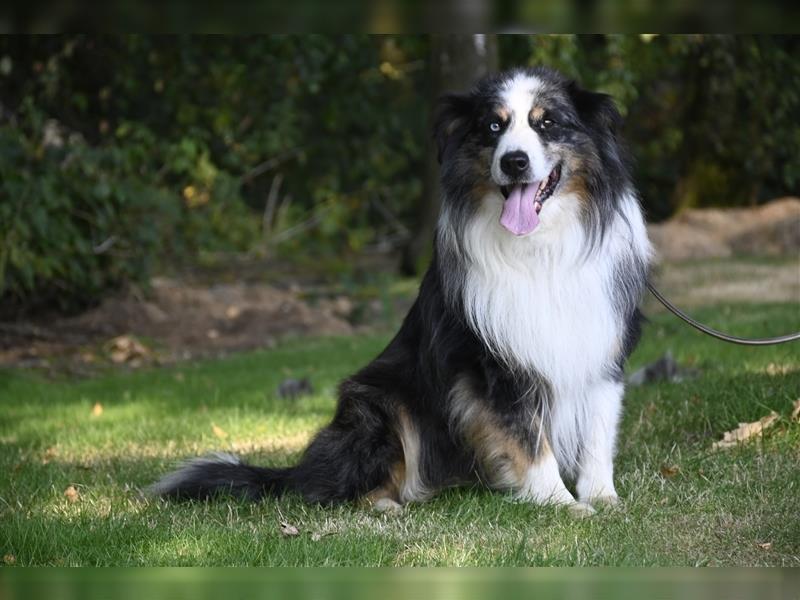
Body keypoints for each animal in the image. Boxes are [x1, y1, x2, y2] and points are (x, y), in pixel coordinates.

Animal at [150, 67, 648, 516]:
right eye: (493, 127)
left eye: (548, 123)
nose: (514, 162)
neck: (542, 246)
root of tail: (297, 470)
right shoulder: (495, 365)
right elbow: (527, 437)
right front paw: (560, 503)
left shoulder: (601, 345)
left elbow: (599, 431)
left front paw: (603, 497)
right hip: (379, 403)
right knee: (334, 488)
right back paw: (383, 506)